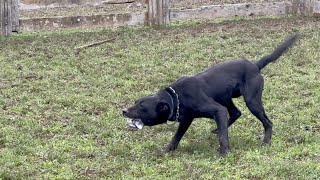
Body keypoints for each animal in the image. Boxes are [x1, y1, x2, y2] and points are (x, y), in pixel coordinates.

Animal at [122, 33, 298, 155]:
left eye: (142, 106)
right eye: (136, 101)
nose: (123, 110)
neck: (176, 98)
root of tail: (255, 66)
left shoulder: (216, 110)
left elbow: (223, 137)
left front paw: (224, 152)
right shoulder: (186, 119)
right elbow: (177, 136)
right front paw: (168, 149)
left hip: (252, 101)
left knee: (267, 122)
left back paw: (266, 141)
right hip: (225, 98)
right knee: (235, 113)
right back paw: (219, 128)